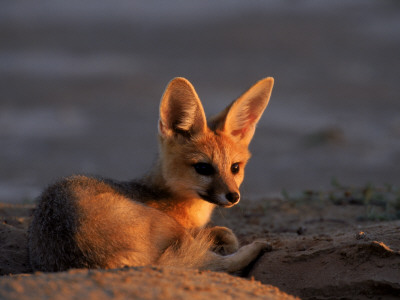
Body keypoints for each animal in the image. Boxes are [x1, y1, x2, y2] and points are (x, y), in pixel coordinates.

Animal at [27, 76, 272, 274]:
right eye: (203, 168)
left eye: (235, 167)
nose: (233, 196)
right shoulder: (184, 231)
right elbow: (223, 236)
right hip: (168, 227)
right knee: (215, 264)